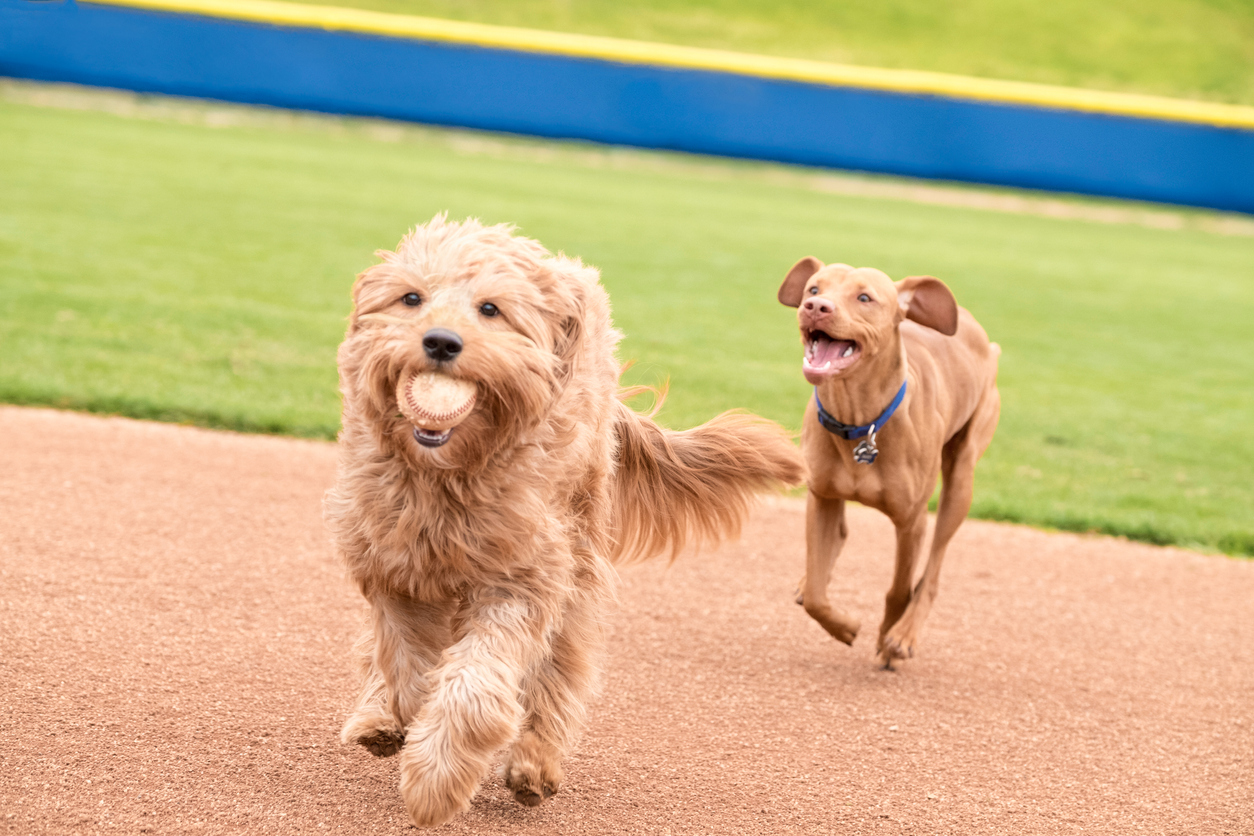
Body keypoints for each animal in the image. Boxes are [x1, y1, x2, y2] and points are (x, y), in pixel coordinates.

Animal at [318, 218, 797, 832]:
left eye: (491, 309)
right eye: (411, 298)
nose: (441, 342)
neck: (447, 475)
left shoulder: (523, 577)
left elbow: (474, 689)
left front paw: (436, 780)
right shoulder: (391, 566)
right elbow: (404, 663)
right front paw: (403, 717)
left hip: (578, 560)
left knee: (560, 669)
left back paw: (534, 765)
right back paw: (378, 720)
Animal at [782, 258, 998, 671]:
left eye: (864, 297)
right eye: (814, 289)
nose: (816, 308)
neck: (859, 423)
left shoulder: (912, 521)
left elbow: (900, 589)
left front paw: (888, 638)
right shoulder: (821, 495)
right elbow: (817, 593)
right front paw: (844, 626)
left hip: (962, 477)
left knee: (932, 571)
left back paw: (905, 634)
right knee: (835, 542)